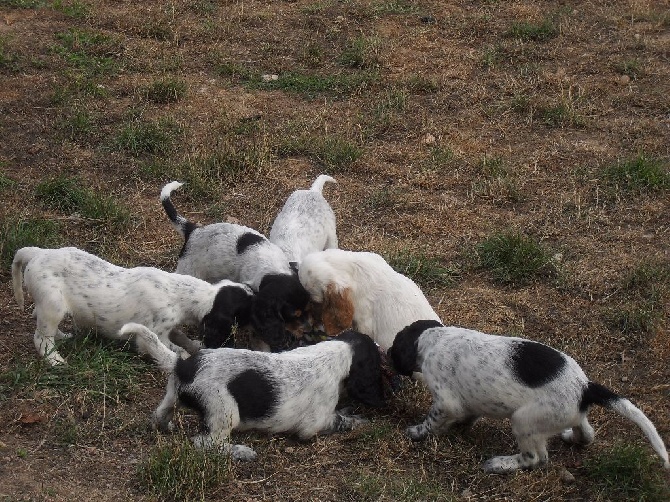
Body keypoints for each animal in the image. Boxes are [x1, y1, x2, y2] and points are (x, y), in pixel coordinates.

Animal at [13, 246, 255, 364]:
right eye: (245, 311)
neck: (179, 292)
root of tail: (38, 253)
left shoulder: (170, 327)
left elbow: (181, 337)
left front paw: (193, 344)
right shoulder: (155, 334)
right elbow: (172, 348)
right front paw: (186, 354)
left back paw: (64, 337)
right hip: (53, 305)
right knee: (41, 338)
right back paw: (55, 360)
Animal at [122, 322, 386, 458]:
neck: (339, 353)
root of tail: (183, 365)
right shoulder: (314, 424)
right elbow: (341, 420)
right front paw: (359, 421)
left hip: (172, 393)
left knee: (159, 414)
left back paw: (165, 426)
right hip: (225, 412)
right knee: (203, 442)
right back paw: (241, 452)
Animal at [161, 182, 312, 352]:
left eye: (309, 307)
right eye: (293, 315)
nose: (309, 331)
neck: (273, 270)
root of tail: (192, 230)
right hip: (188, 271)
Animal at [388, 320, 670, 472]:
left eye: (394, 347)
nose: (386, 355)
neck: (433, 339)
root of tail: (585, 387)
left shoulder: (445, 402)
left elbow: (431, 421)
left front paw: (416, 432)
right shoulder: (468, 402)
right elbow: (469, 415)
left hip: (524, 421)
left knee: (536, 459)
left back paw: (501, 464)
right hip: (567, 415)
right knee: (587, 433)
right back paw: (572, 438)